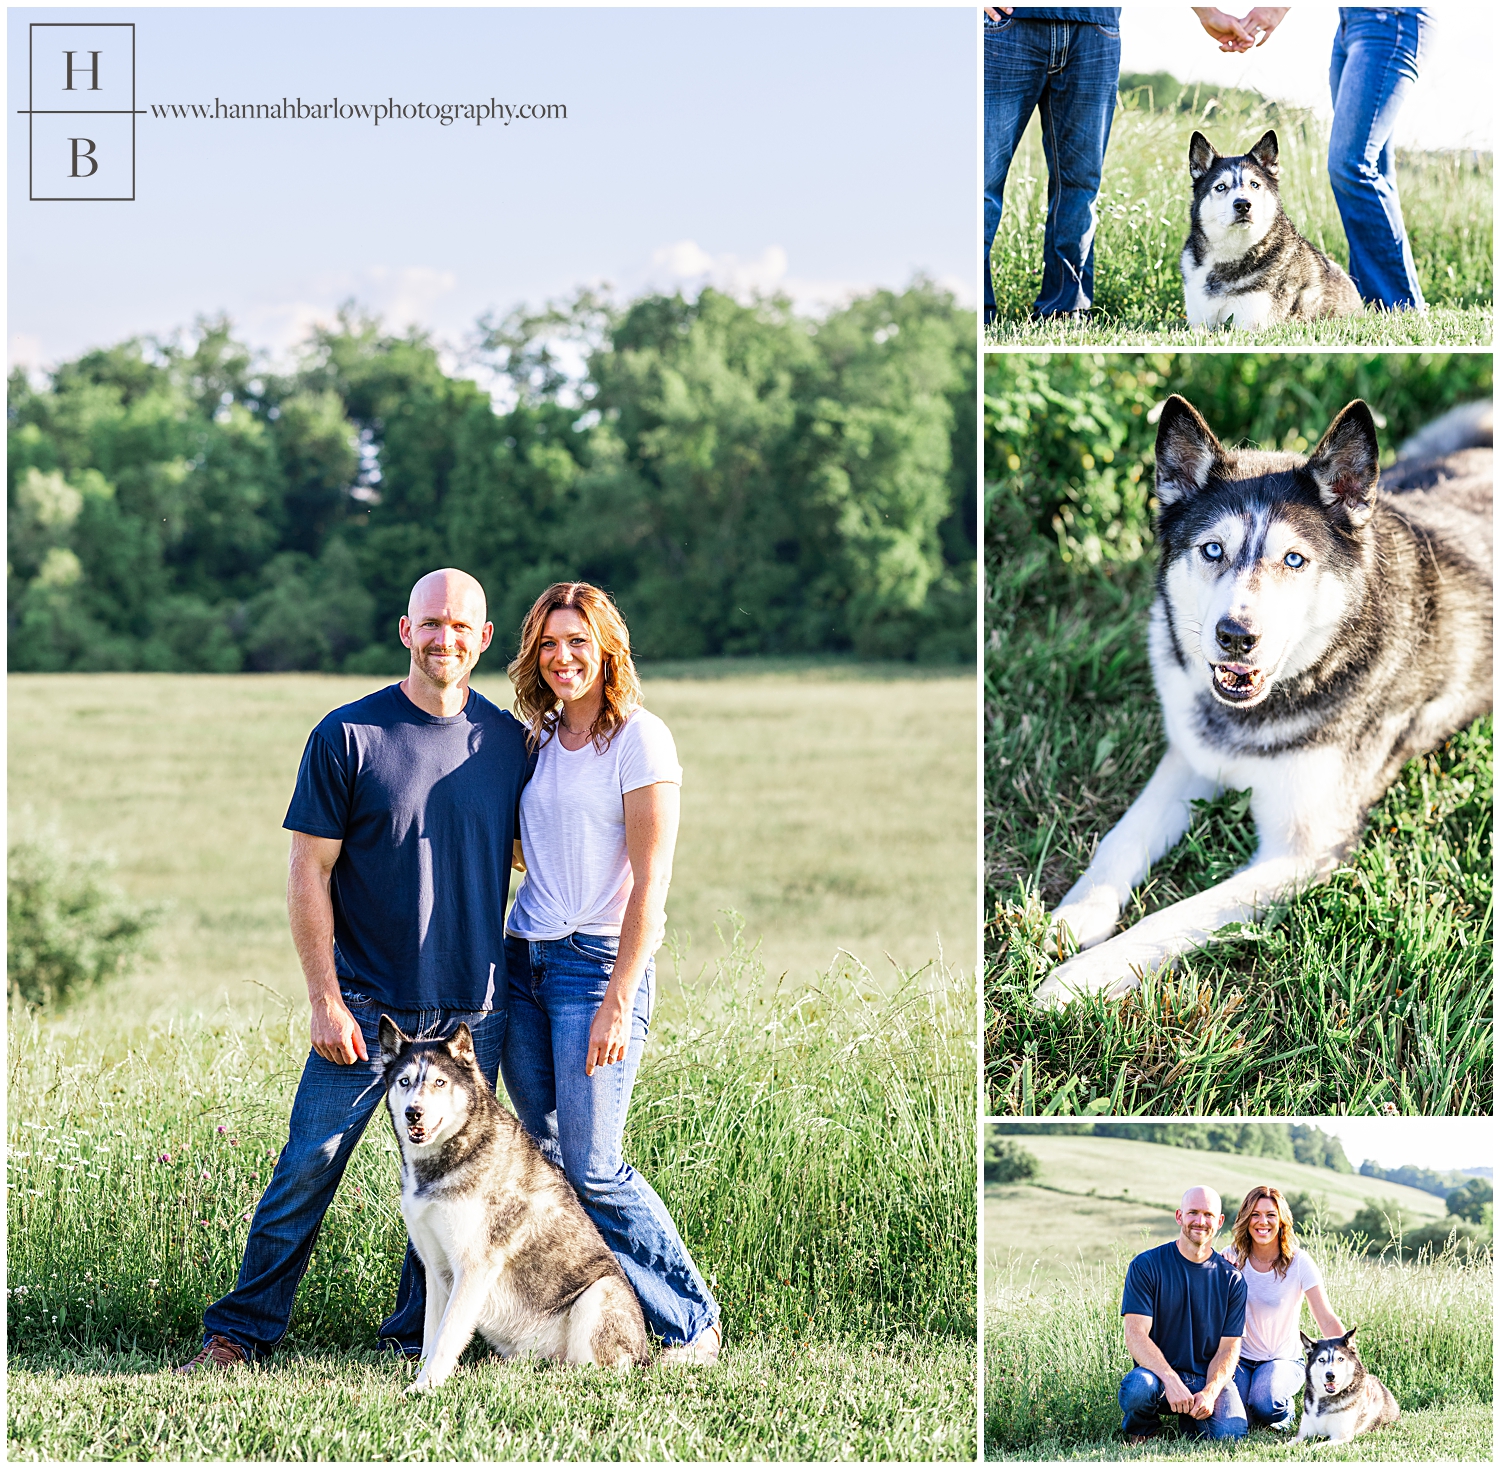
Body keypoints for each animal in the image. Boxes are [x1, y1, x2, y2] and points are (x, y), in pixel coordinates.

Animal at [378, 1014, 648, 1398]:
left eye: (440, 1082)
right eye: (405, 1082)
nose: (413, 1113)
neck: (456, 1152)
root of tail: (644, 1355)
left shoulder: (473, 1268)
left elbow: (446, 1339)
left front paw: (424, 1388)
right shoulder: (436, 1269)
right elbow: (432, 1336)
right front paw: (421, 1377)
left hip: (598, 1294)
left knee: (595, 1371)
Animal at [1038, 396, 1494, 1002]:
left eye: (1294, 560)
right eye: (1212, 550)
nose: (1236, 636)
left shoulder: (1303, 851)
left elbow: (1173, 916)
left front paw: (1080, 980)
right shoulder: (1190, 760)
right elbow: (1120, 836)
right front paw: (1078, 913)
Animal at [1176, 129, 1368, 330]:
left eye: (1254, 184)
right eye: (1220, 187)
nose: (1243, 204)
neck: (1231, 253)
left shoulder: (1251, 326)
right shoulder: (1198, 323)